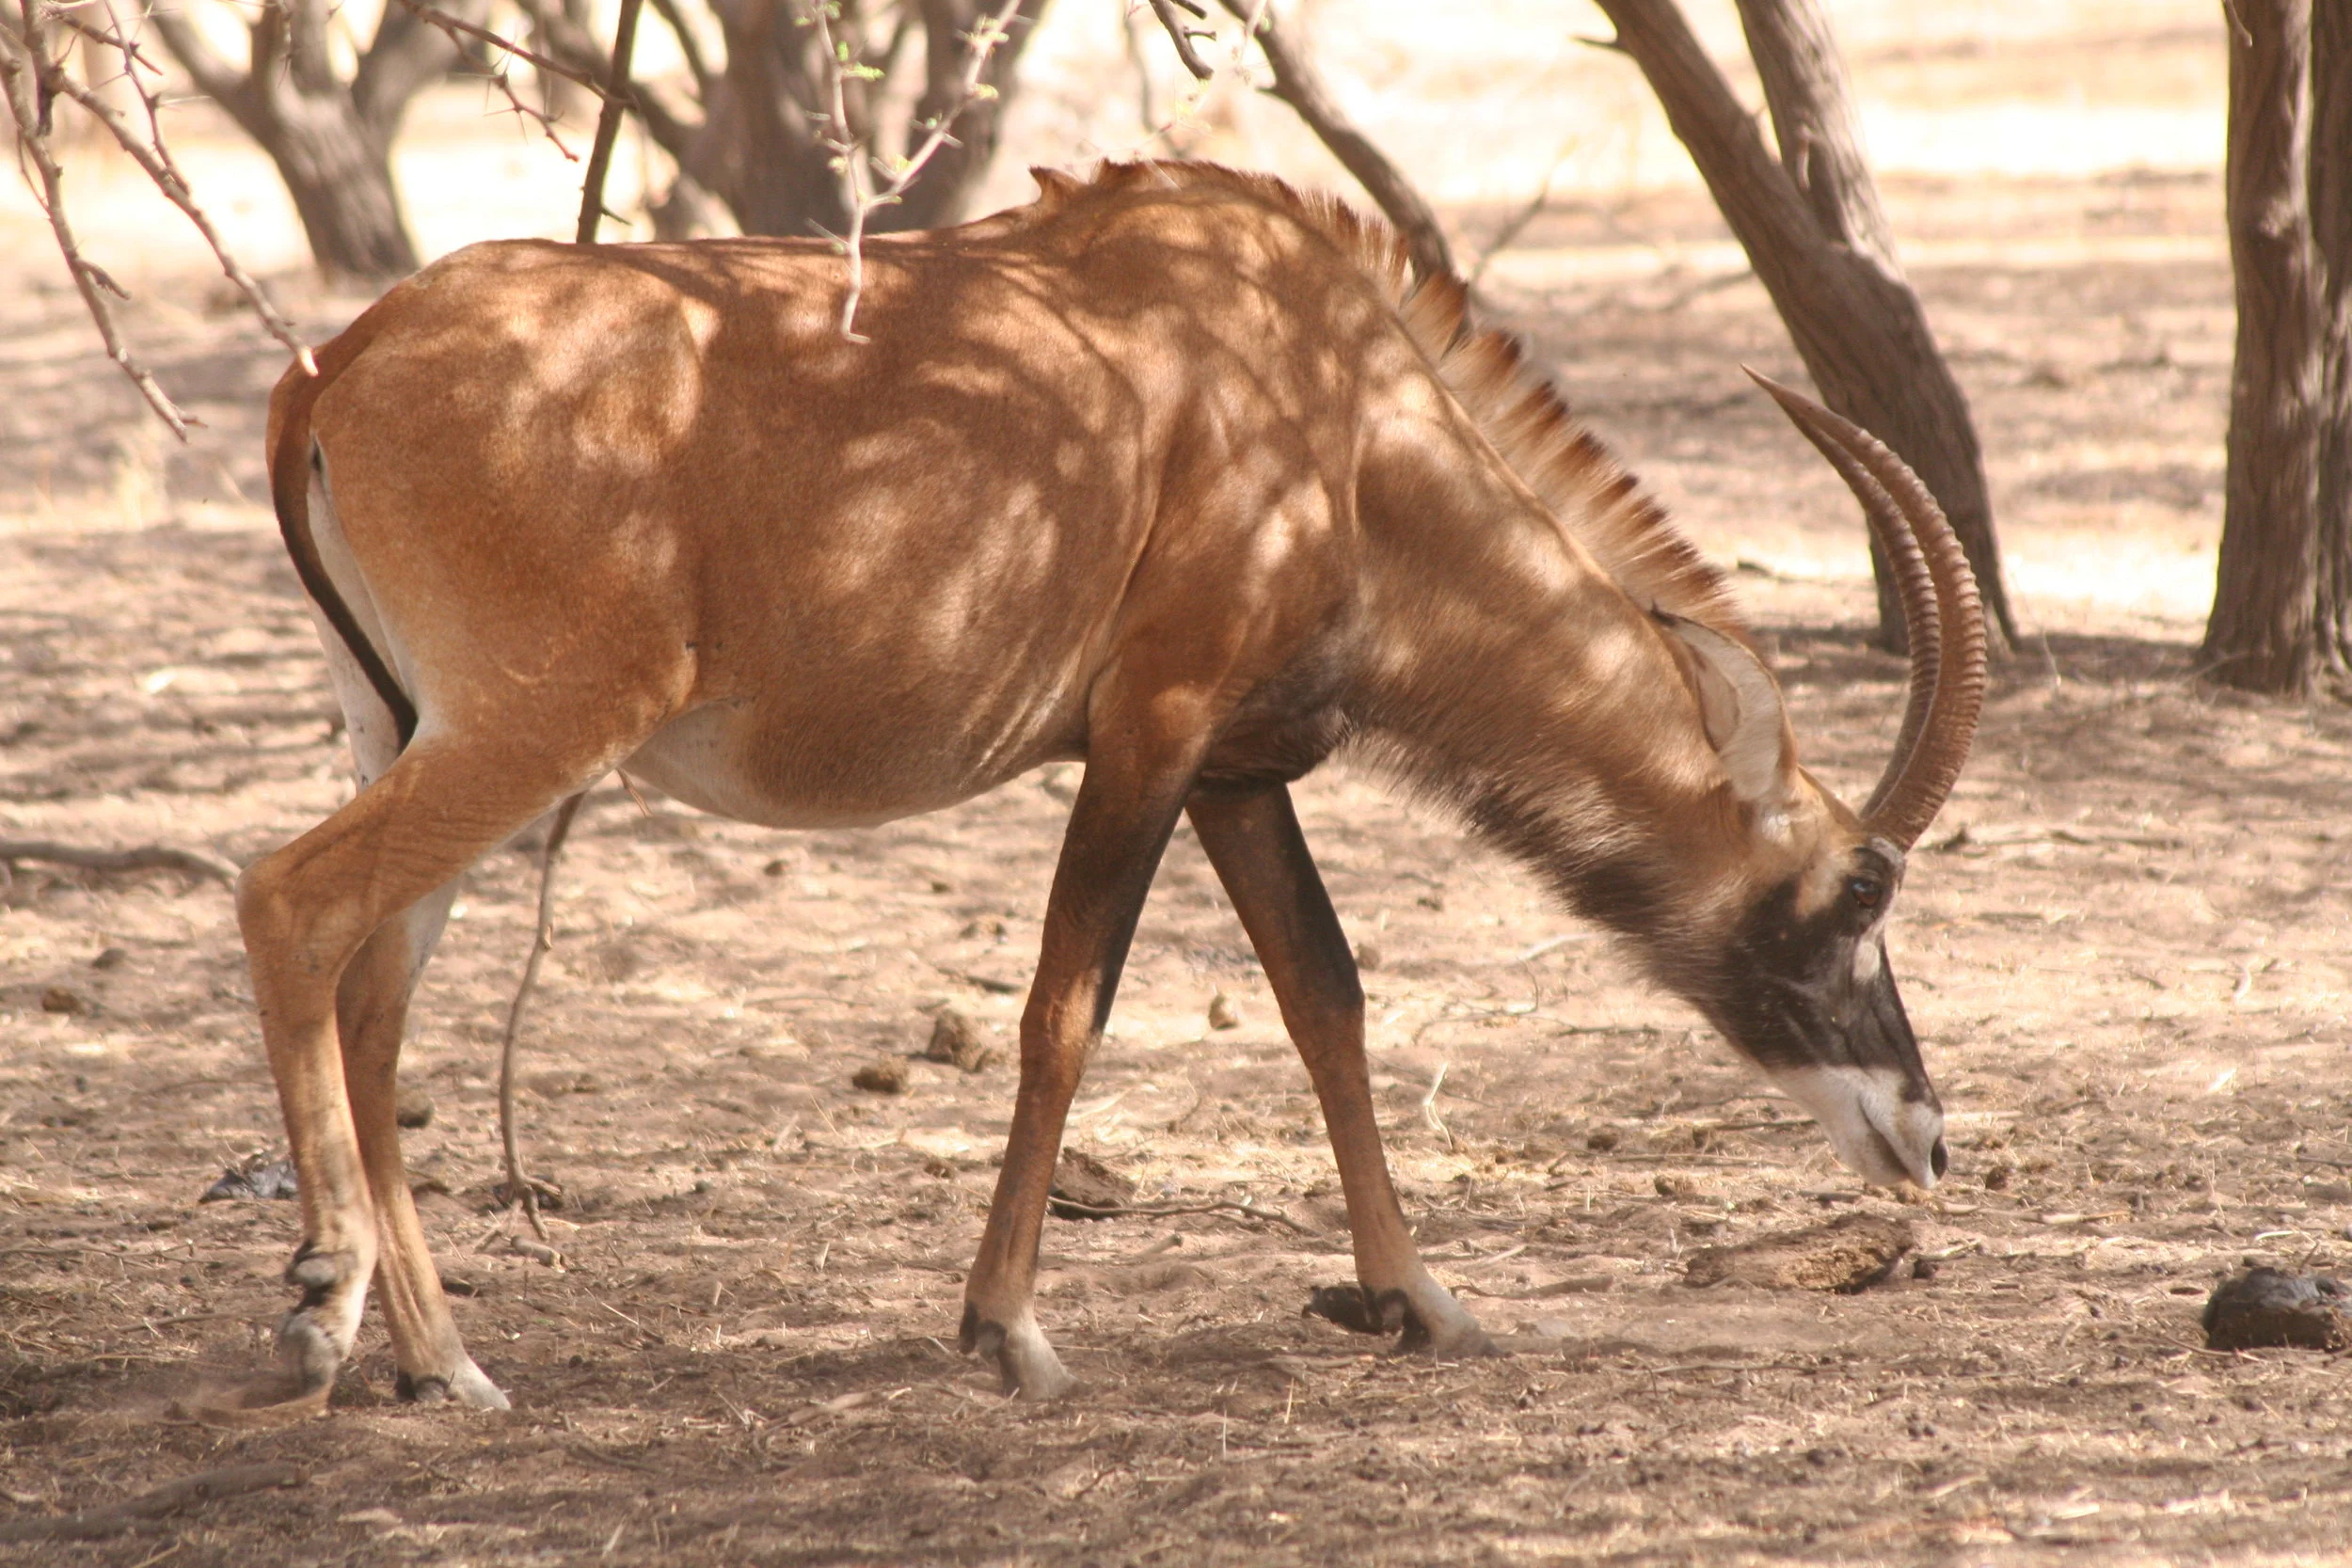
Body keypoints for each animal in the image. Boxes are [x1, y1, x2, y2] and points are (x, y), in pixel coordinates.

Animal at [198, 161, 1982, 1422]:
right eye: (1858, 890)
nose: (1926, 1138)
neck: (1345, 419)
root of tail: (335, 363)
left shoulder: (1237, 770)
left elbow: (1326, 996)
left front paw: (1420, 1298)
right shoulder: (1150, 732)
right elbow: (1066, 1008)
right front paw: (1013, 1332)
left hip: (410, 722)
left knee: (376, 986)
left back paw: (443, 1363)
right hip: (539, 721)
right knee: (294, 898)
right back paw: (318, 1303)